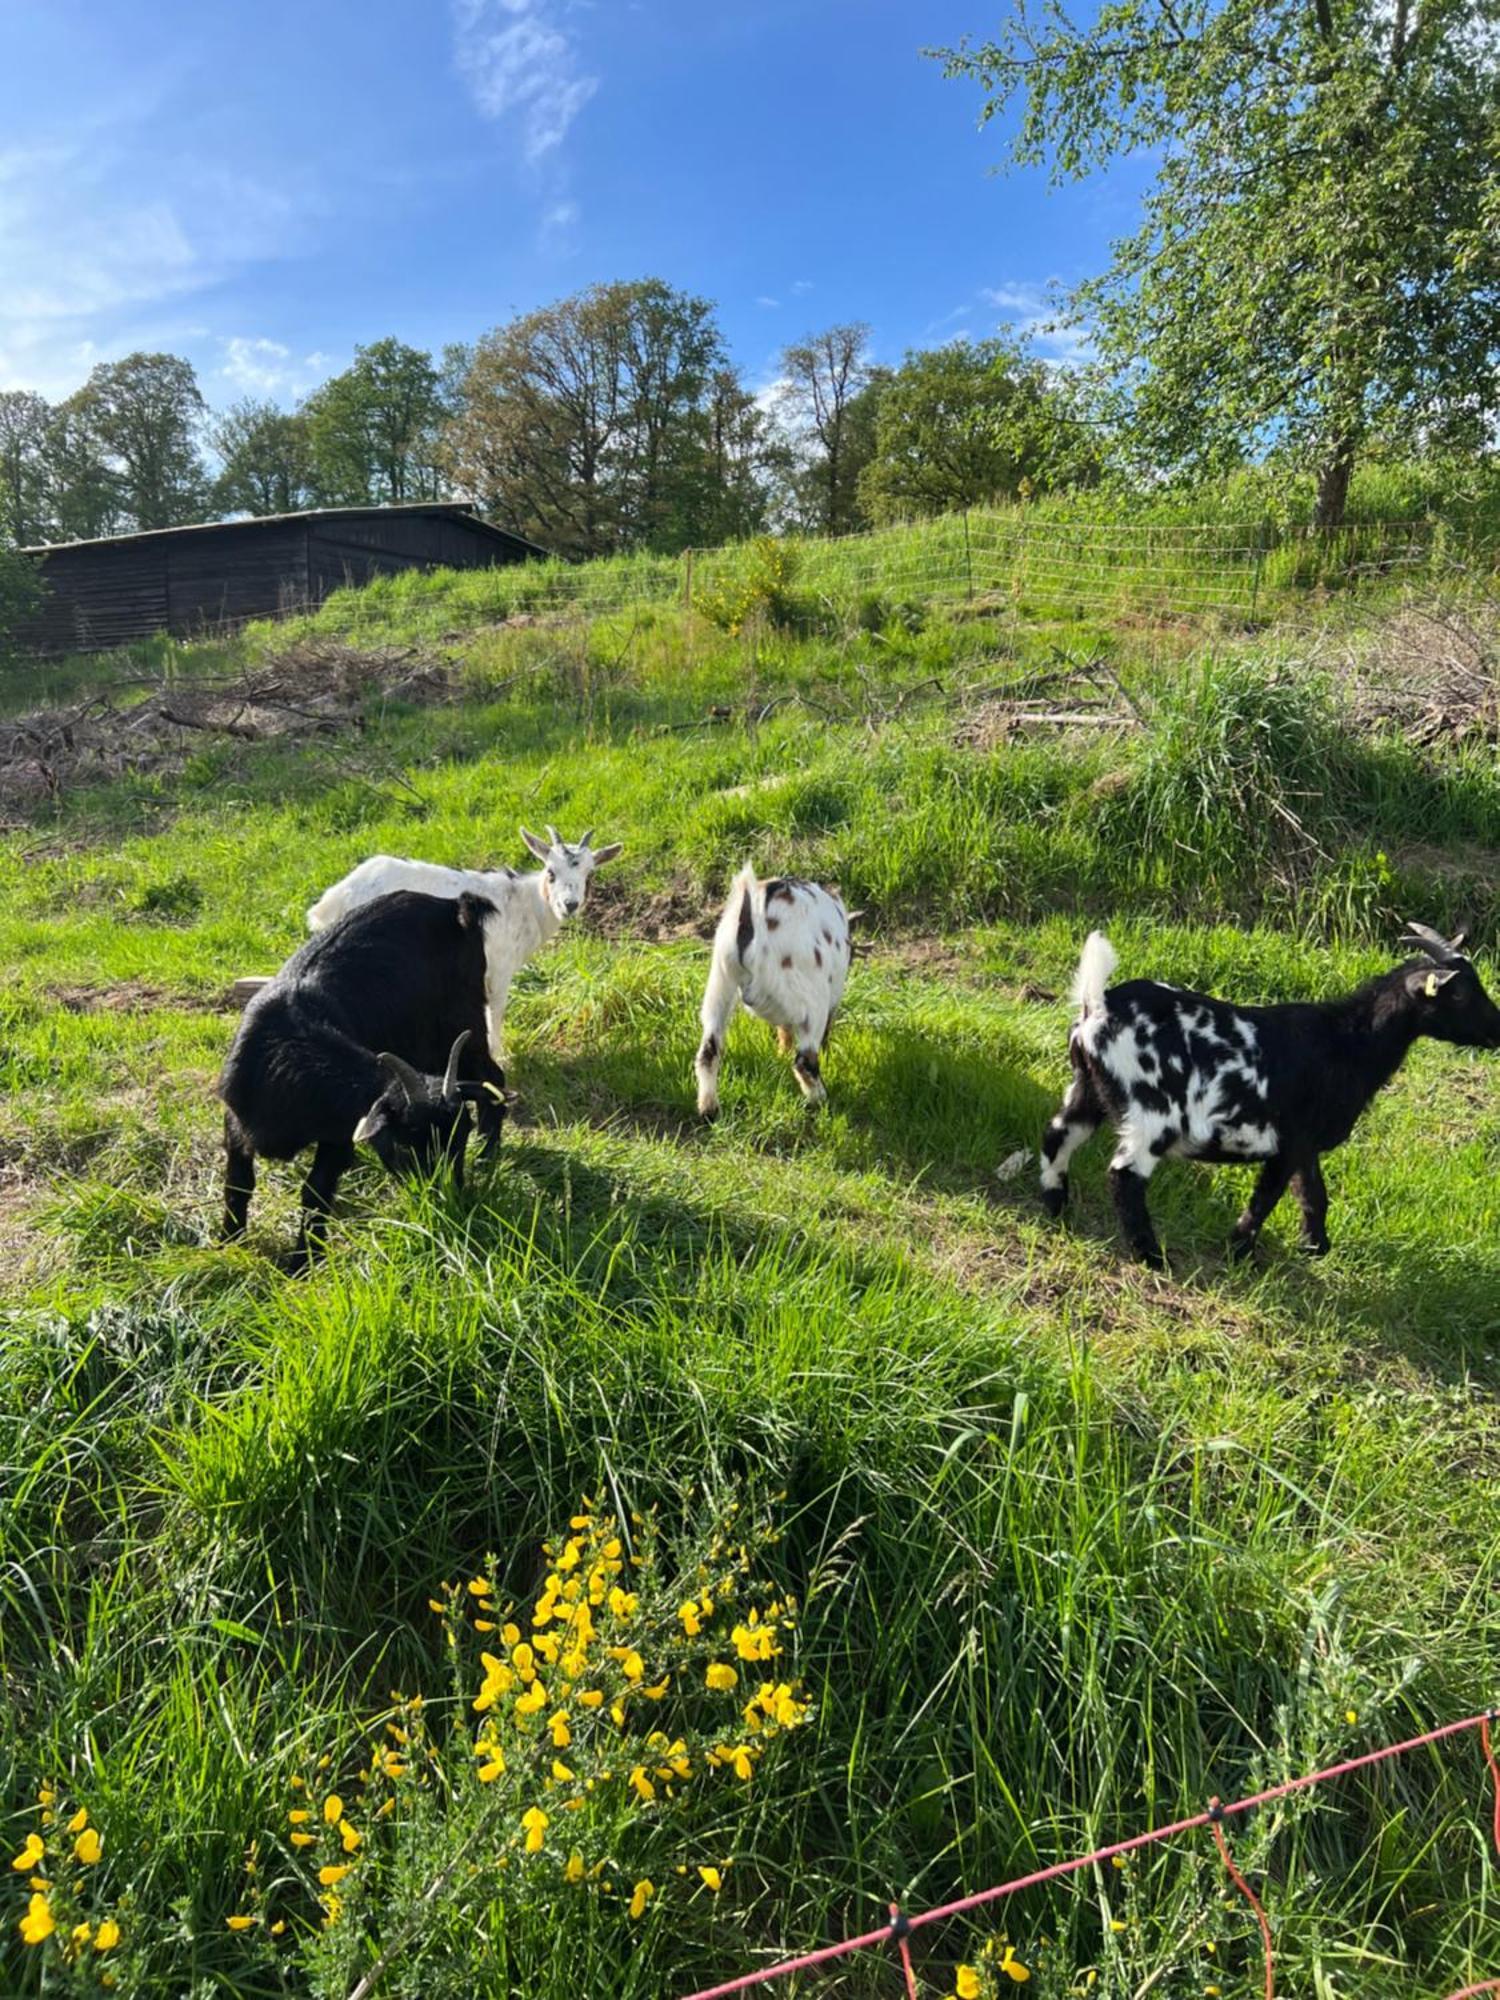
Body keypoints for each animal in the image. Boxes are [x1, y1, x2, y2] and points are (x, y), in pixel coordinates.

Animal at [219, 892, 512, 1264]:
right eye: (405, 1146)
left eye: (461, 1137)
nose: (452, 1205)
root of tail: (454, 906)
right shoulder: (235, 1117)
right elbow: (238, 1182)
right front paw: (229, 1242)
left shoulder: (339, 1134)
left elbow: (316, 1191)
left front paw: (302, 1261)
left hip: (463, 1019)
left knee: (492, 1075)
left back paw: (488, 1154)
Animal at [306, 824, 624, 1064]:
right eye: (551, 872)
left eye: (589, 874)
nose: (569, 905)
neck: (525, 905)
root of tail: (338, 896)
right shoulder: (499, 971)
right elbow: (495, 1012)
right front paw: (500, 1057)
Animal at [696, 868, 852, 1120]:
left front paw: (780, 1054)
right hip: (812, 1001)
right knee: (804, 1061)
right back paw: (820, 1100)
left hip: (719, 984)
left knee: (708, 1051)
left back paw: (709, 1109)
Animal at [1040, 924, 1500, 1264]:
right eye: (1460, 993)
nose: (1496, 1029)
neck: (1347, 1042)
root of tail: (1097, 1008)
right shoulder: (1290, 1140)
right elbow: (1268, 1197)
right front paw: (1239, 1249)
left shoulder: (1306, 1144)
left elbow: (1314, 1194)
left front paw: (1316, 1247)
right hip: (1152, 1113)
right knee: (1125, 1175)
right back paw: (1151, 1256)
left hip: (1087, 1090)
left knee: (1059, 1134)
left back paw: (1055, 1207)